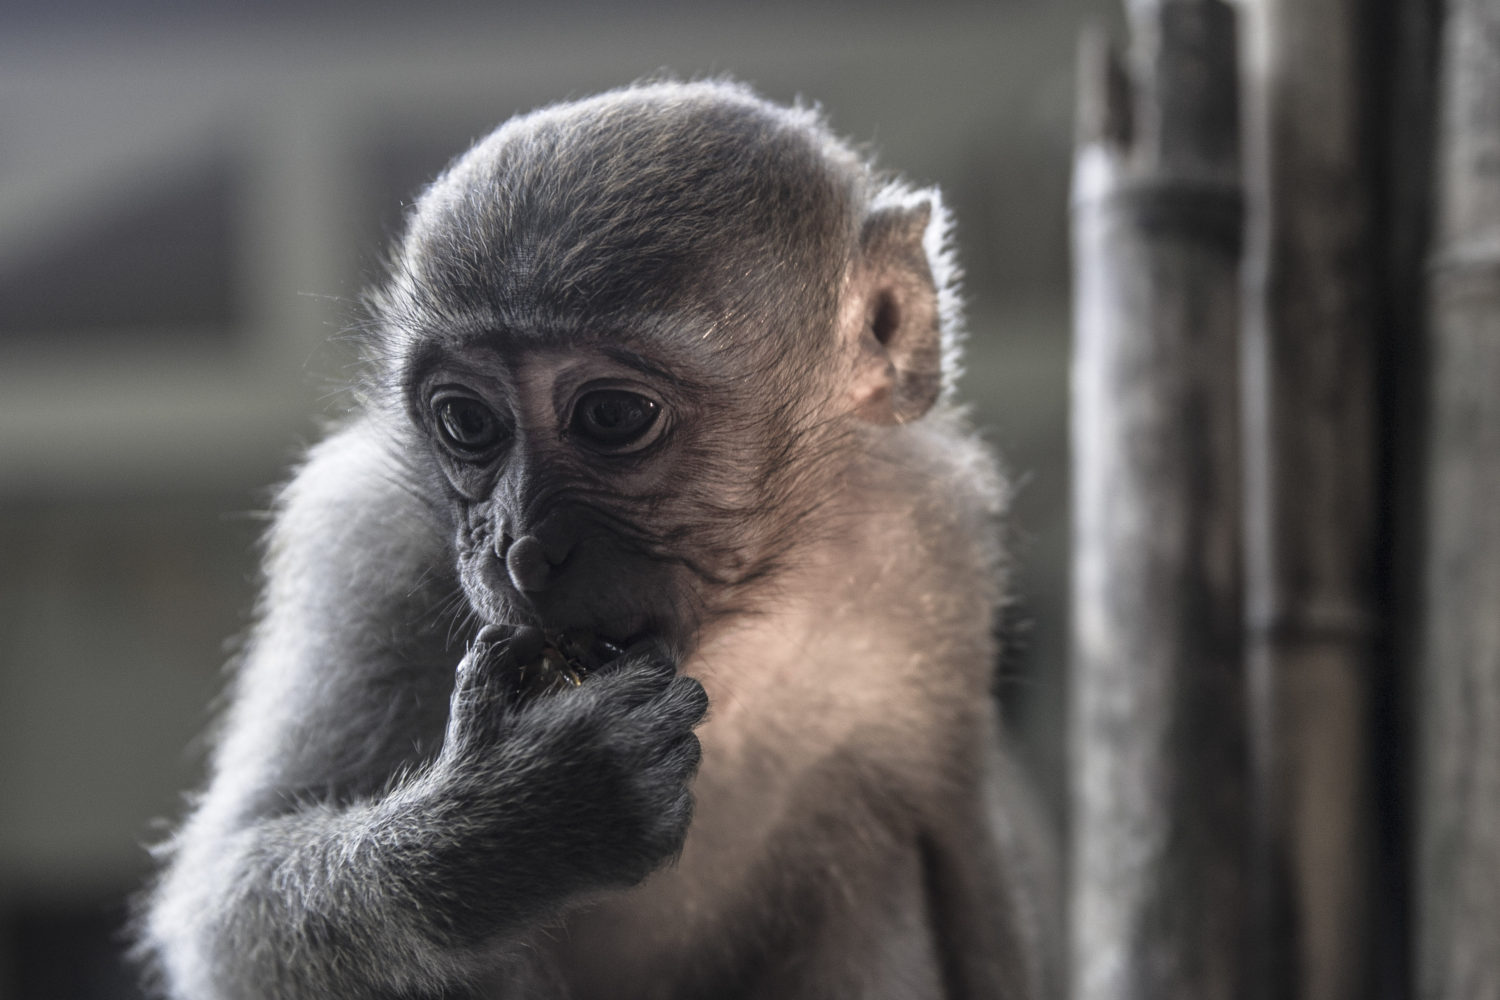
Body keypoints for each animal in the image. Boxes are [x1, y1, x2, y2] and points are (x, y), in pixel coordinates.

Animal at [138, 78, 1056, 1000]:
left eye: (612, 415)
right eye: (466, 421)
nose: (518, 550)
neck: (749, 622)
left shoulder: (935, 540)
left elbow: (967, 850)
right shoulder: (364, 547)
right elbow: (228, 904)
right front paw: (515, 823)